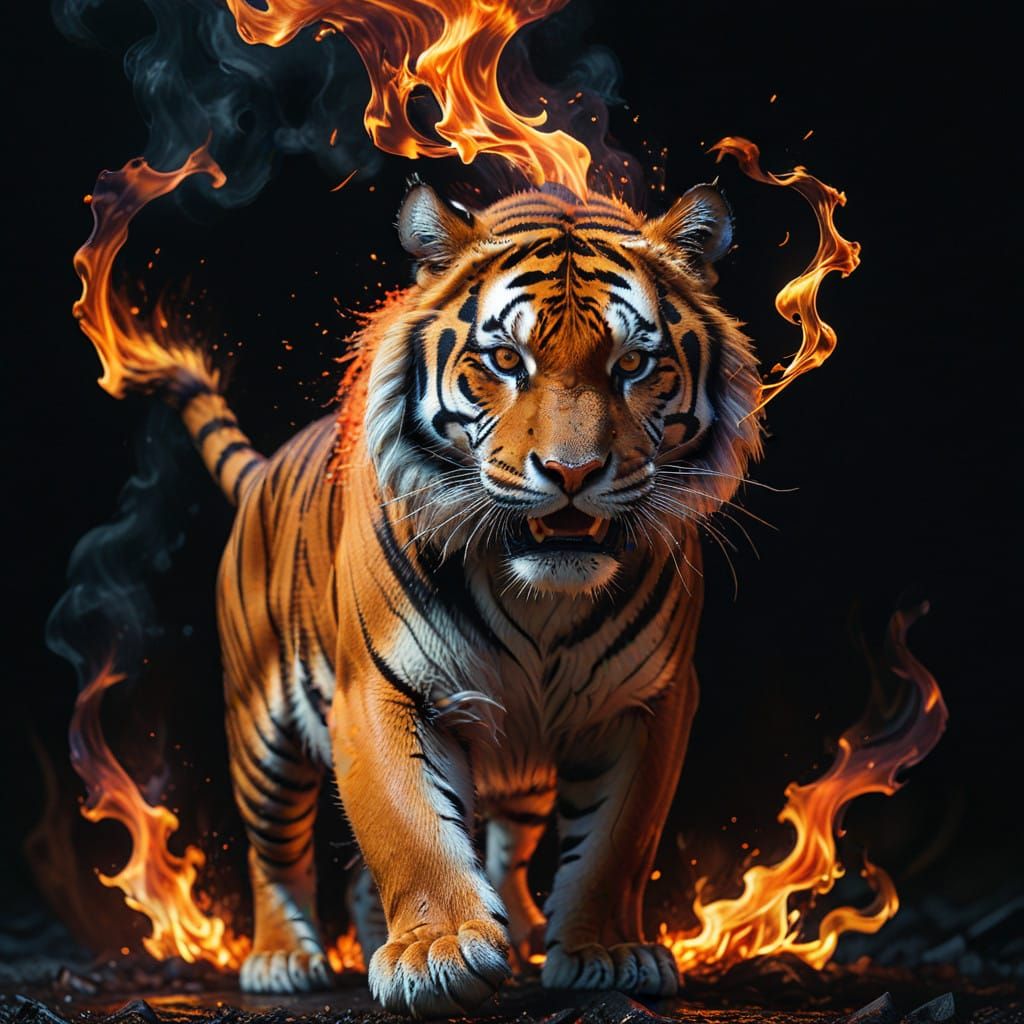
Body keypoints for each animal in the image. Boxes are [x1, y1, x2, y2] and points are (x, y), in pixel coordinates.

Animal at [141, 180, 762, 1015]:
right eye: (505, 360)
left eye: (634, 363)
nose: (572, 472)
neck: (540, 598)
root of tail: (269, 465)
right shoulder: (381, 691)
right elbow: (410, 827)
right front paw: (438, 951)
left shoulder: (648, 701)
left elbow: (617, 841)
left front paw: (603, 951)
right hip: (262, 731)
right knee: (274, 852)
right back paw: (283, 959)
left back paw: (513, 928)